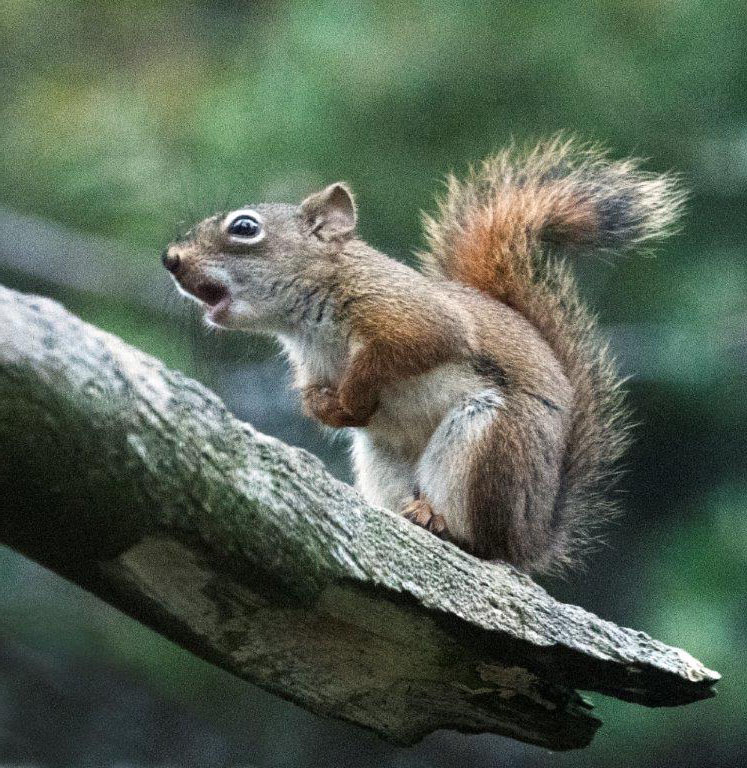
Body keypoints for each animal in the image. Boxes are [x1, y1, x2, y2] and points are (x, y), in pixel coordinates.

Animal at [162, 137, 684, 575]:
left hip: (487, 441)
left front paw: (355, 397)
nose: (170, 259)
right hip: (383, 458)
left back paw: (438, 519)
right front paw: (331, 410)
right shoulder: (311, 366)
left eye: (245, 228)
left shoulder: (416, 317)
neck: (308, 323)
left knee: (477, 540)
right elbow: (313, 396)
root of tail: (528, 539)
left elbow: (399, 351)